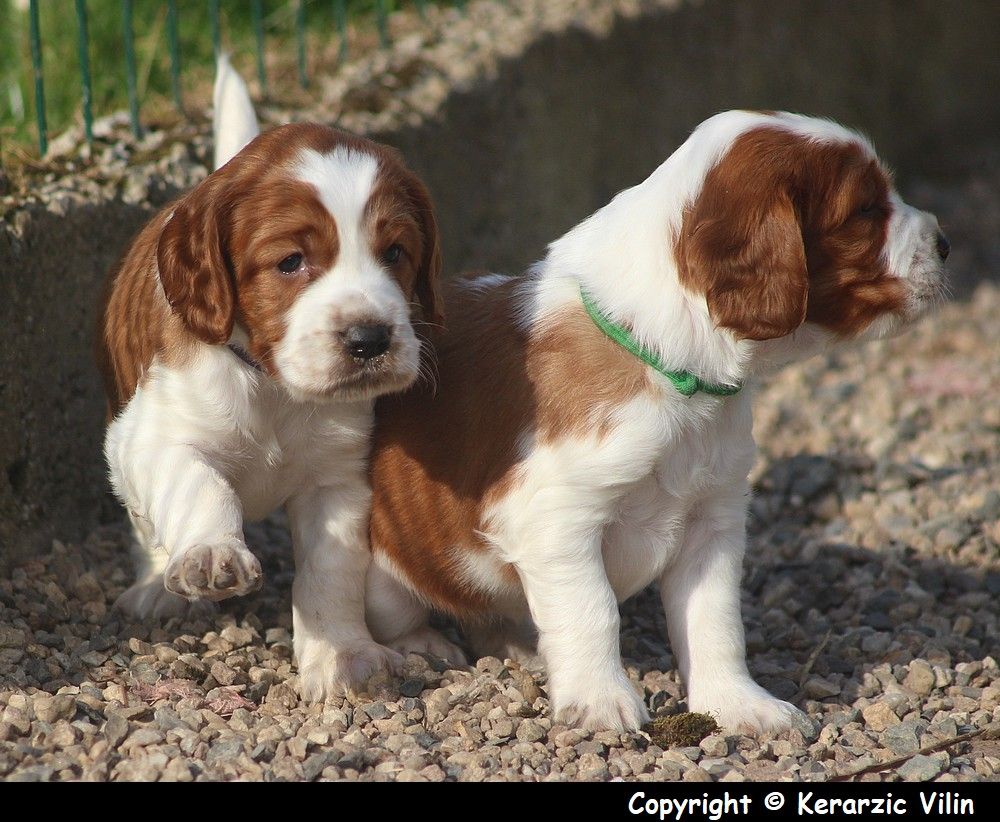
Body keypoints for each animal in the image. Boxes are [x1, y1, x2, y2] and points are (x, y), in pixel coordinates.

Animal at [97, 58, 442, 700]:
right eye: (290, 262)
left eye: (396, 253)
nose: (370, 339)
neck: (273, 384)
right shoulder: (150, 437)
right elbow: (199, 481)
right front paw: (212, 553)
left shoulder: (339, 479)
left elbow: (331, 574)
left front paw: (342, 657)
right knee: (143, 522)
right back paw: (155, 586)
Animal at [364, 111, 948, 732]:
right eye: (865, 210)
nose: (945, 242)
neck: (670, 366)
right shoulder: (558, 519)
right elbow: (593, 610)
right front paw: (601, 701)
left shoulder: (713, 519)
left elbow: (716, 621)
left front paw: (738, 704)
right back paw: (422, 645)